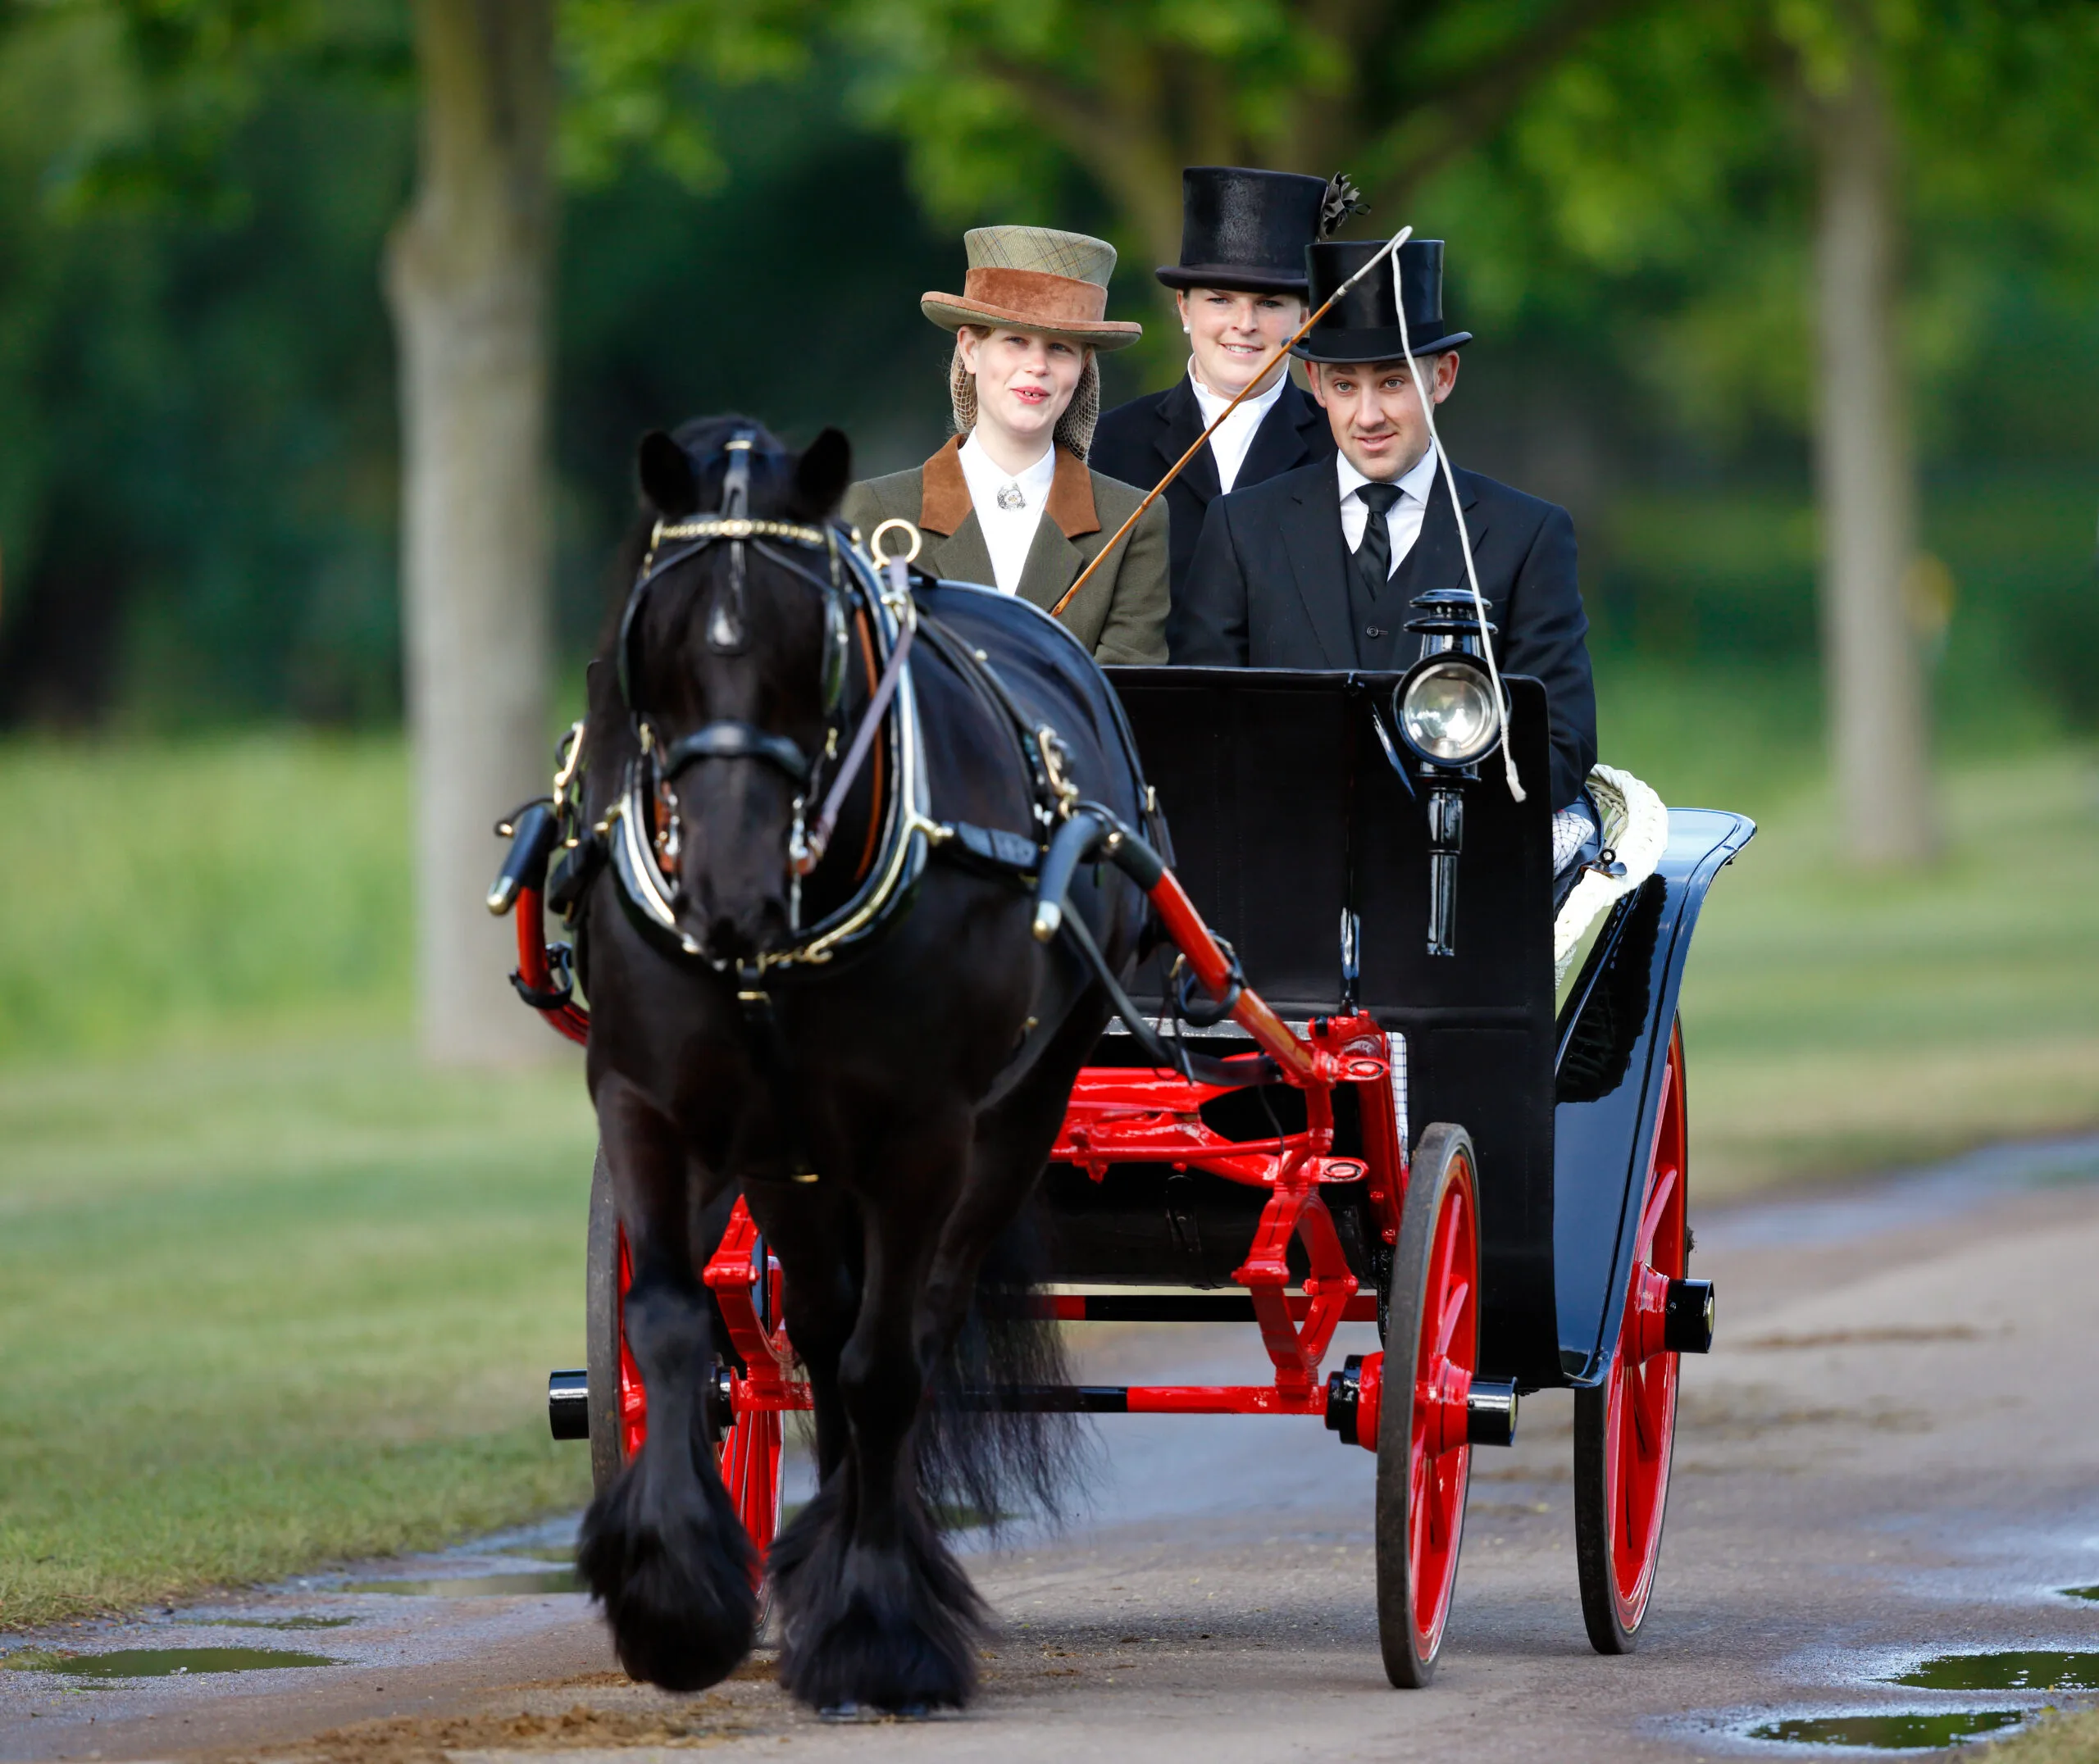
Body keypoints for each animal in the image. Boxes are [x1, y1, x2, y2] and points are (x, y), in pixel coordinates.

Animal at [571, 417, 1150, 1703]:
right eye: (652, 640)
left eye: (817, 647)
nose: (729, 891)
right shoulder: (653, 1101)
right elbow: (672, 1322)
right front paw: (675, 1599)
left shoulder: (922, 1134)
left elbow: (890, 1367)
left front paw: (878, 1623)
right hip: (791, 1155)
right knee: (821, 1326)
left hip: (1015, 1119)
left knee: (908, 1333)